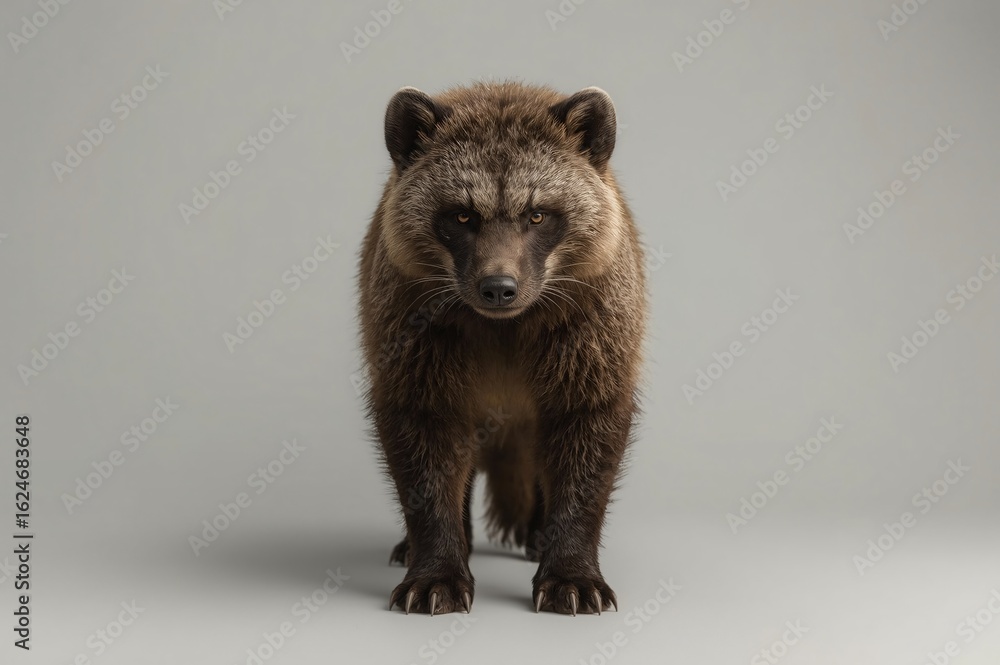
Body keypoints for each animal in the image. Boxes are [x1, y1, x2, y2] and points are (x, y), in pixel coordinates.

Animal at [358, 81, 646, 615]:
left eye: (537, 214)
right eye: (462, 215)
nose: (498, 288)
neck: (504, 326)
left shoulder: (596, 324)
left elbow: (587, 427)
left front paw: (570, 565)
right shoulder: (409, 324)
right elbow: (424, 433)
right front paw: (436, 563)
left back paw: (538, 530)